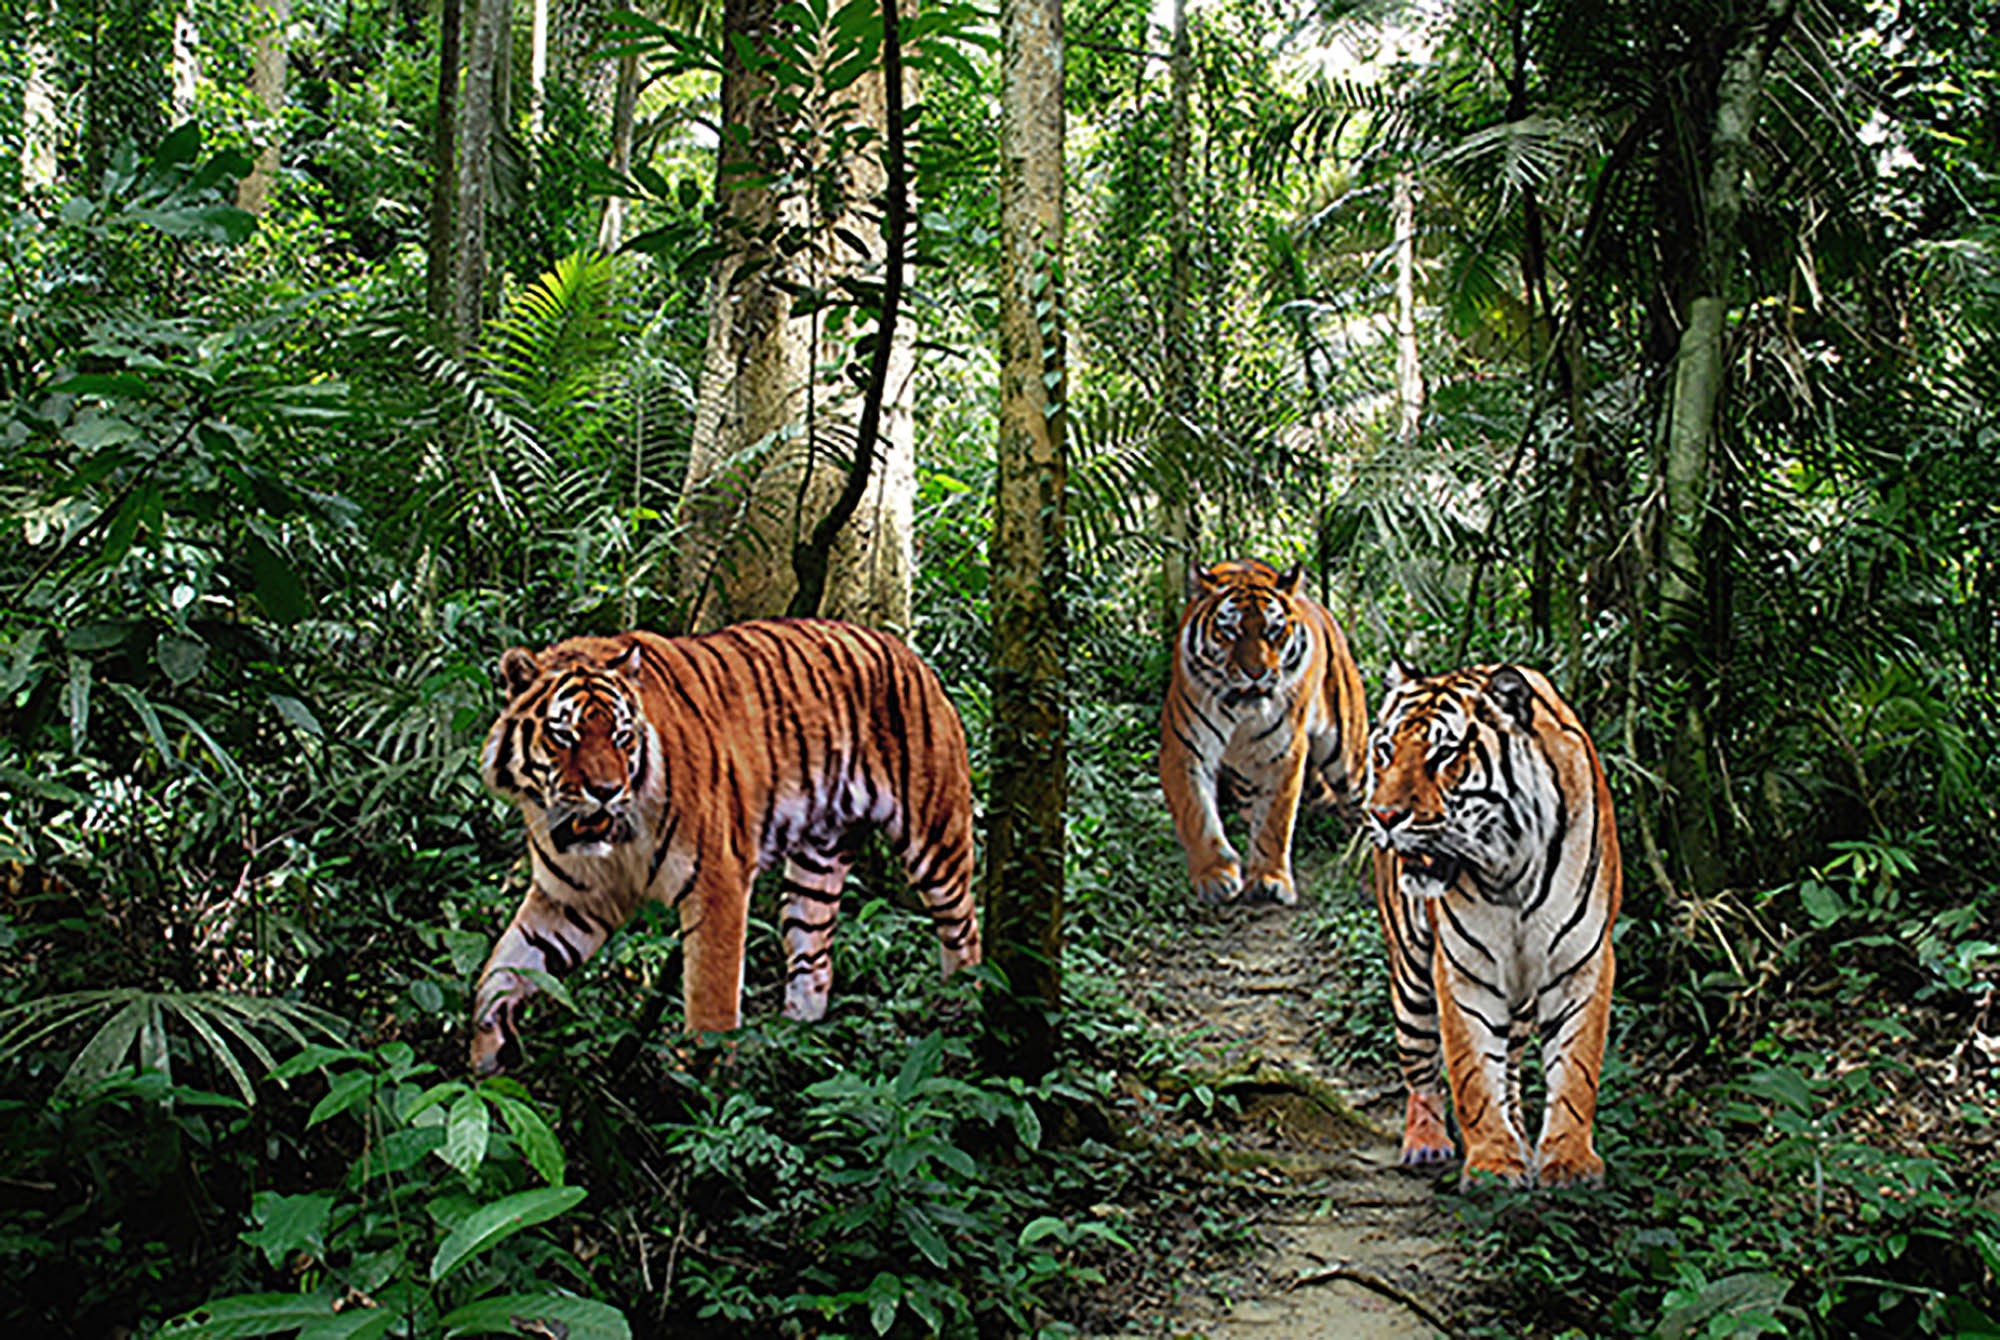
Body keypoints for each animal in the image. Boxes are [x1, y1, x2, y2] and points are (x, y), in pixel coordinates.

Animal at [468, 618, 982, 1076]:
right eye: (564, 735)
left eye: (621, 735)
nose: (606, 791)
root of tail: (906, 651)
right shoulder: (573, 899)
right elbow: (500, 969)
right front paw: (486, 1055)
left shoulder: (718, 883)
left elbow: (709, 1006)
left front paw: (697, 1095)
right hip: (817, 863)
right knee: (814, 961)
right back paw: (788, 1047)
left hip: (935, 838)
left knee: (964, 930)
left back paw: (959, 1018)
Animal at [1159, 559, 1371, 905]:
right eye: (1230, 631)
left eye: (1273, 631)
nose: (1256, 673)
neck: (1241, 711)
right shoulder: (1184, 749)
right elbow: (1197, 814)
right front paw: (1215, 875)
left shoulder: (1283, 753)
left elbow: (1275, 820)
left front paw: (1270, 880)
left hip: (1348, 759)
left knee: (1366, 809)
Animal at [1364, 663, 1621, 1187]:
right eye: (1384, 750)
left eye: (1443, 753)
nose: (1382, 817)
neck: (1511, 871)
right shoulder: (1464, 968)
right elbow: (1472, 1074)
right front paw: (1492, 1165)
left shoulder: (1583, 961)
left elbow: (1576, 1069)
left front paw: (1568, 1161)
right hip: (1411, 973)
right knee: (1419, 1062)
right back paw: (1427, 1142)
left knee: (1512, 1067)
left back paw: (1521, 1137)